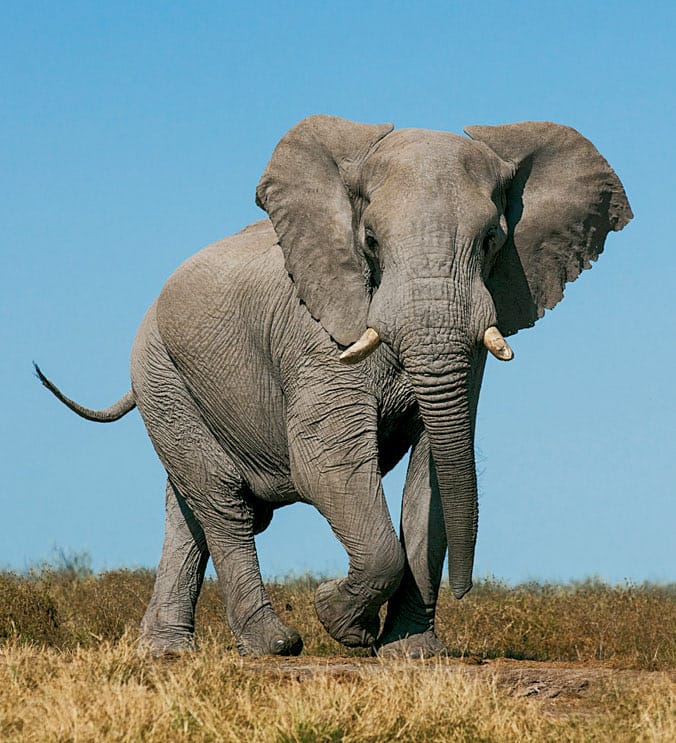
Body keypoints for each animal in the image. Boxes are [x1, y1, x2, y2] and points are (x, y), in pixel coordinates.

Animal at [37, 115, 632, 658]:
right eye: (370, 240)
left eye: (490, 241)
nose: (466, 591)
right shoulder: (315, 330)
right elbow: (326, 463)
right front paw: (343, 621)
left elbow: (435, 472)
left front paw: (413, 654)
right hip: (160, 371)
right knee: (223, 502)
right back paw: (273, 645)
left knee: (188, 510)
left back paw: (167, 652)